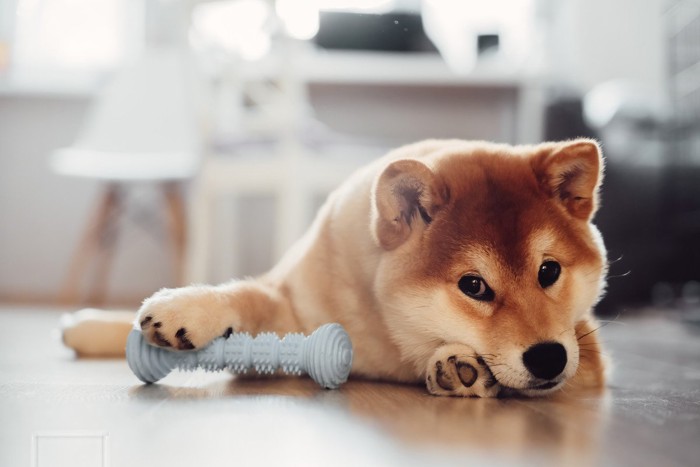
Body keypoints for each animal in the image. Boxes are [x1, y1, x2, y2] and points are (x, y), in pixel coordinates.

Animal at [64, 140, 608, 398]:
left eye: (549, 272)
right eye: (473, 285)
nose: (549, 358)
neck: (379, 331)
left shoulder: (587, 357)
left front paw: (458, 367)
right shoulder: (292, 303)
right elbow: (245, 295)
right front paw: (189, 308)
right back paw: (84, 325)